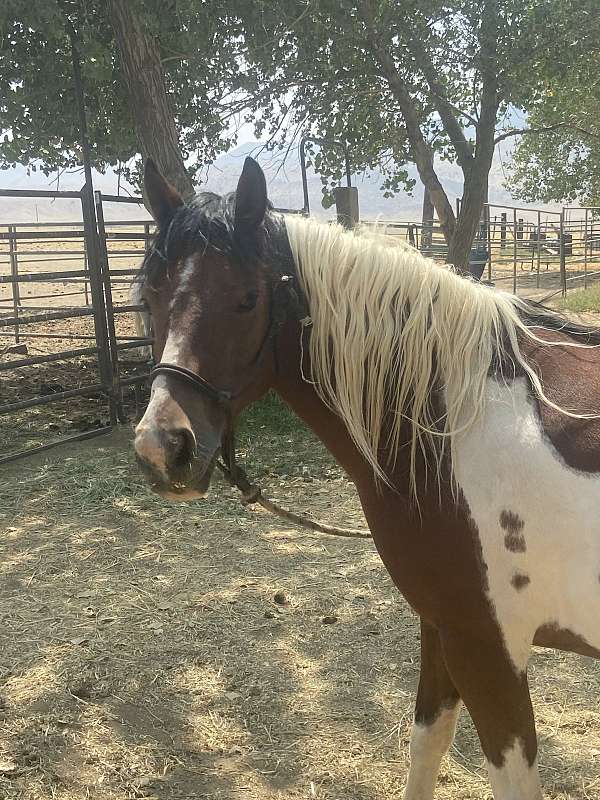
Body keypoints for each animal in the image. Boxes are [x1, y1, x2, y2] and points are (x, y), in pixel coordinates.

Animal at [133, 157, 600, 800]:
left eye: (248, 299)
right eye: (152, 294)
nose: (163, 448)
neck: (456, 424)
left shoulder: (489, 649)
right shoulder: (443, 628)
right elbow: (426, 744)